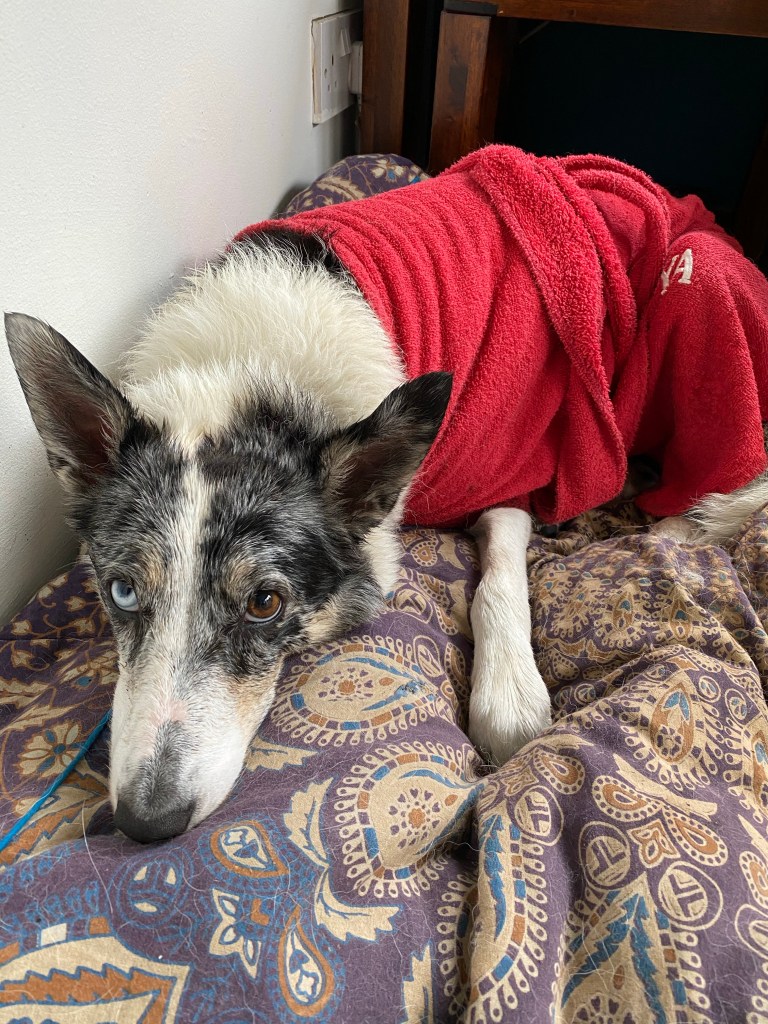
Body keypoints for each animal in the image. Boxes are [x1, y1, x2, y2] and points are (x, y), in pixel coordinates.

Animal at [6, 146, 768, 843]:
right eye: (122, 591)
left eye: (264, 603)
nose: (143, 823)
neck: (253, 372)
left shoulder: (515, 469)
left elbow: (498, 584)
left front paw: (509, 698)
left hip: (699, 300)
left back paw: (687, 523)